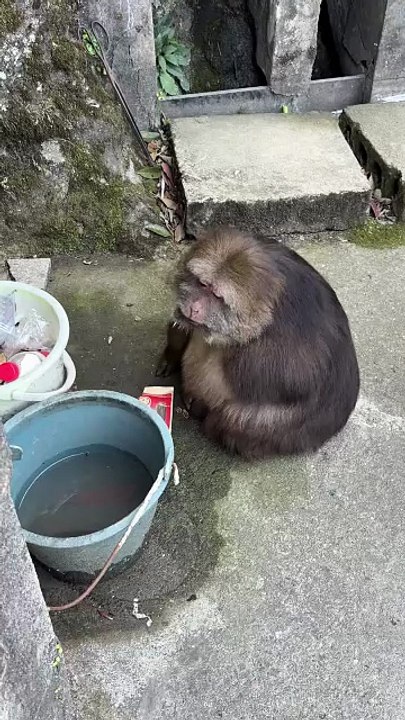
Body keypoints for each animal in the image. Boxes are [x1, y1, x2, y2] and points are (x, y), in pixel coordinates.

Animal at [156, 226, 360, 460]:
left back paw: (205, 413)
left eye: (216, 296)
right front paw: (172, 351)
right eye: (202, 284)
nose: (194, 307)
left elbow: (299, 377)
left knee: (235, 420)